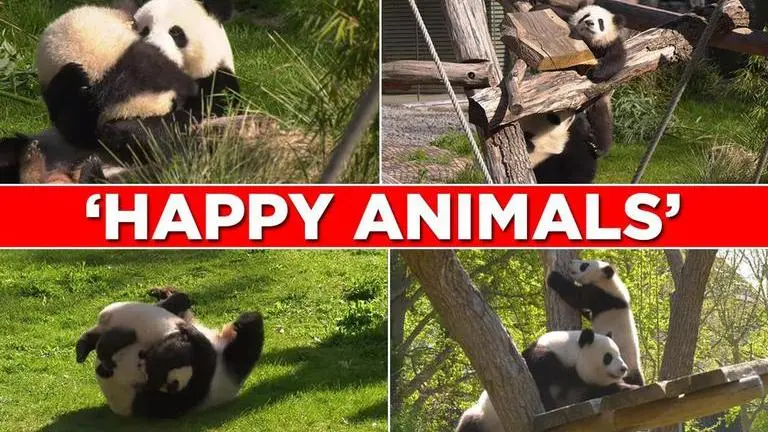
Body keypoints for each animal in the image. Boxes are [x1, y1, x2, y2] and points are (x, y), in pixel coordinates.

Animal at [456, 329, 637, 432]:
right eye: (608, 357)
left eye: (619, 354)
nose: (623, 368)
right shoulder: (543, 360)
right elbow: (539, 384)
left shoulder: (577, 383)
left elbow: (592, 392)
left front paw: (629, 387)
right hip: (483, 416)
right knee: (469, 424)